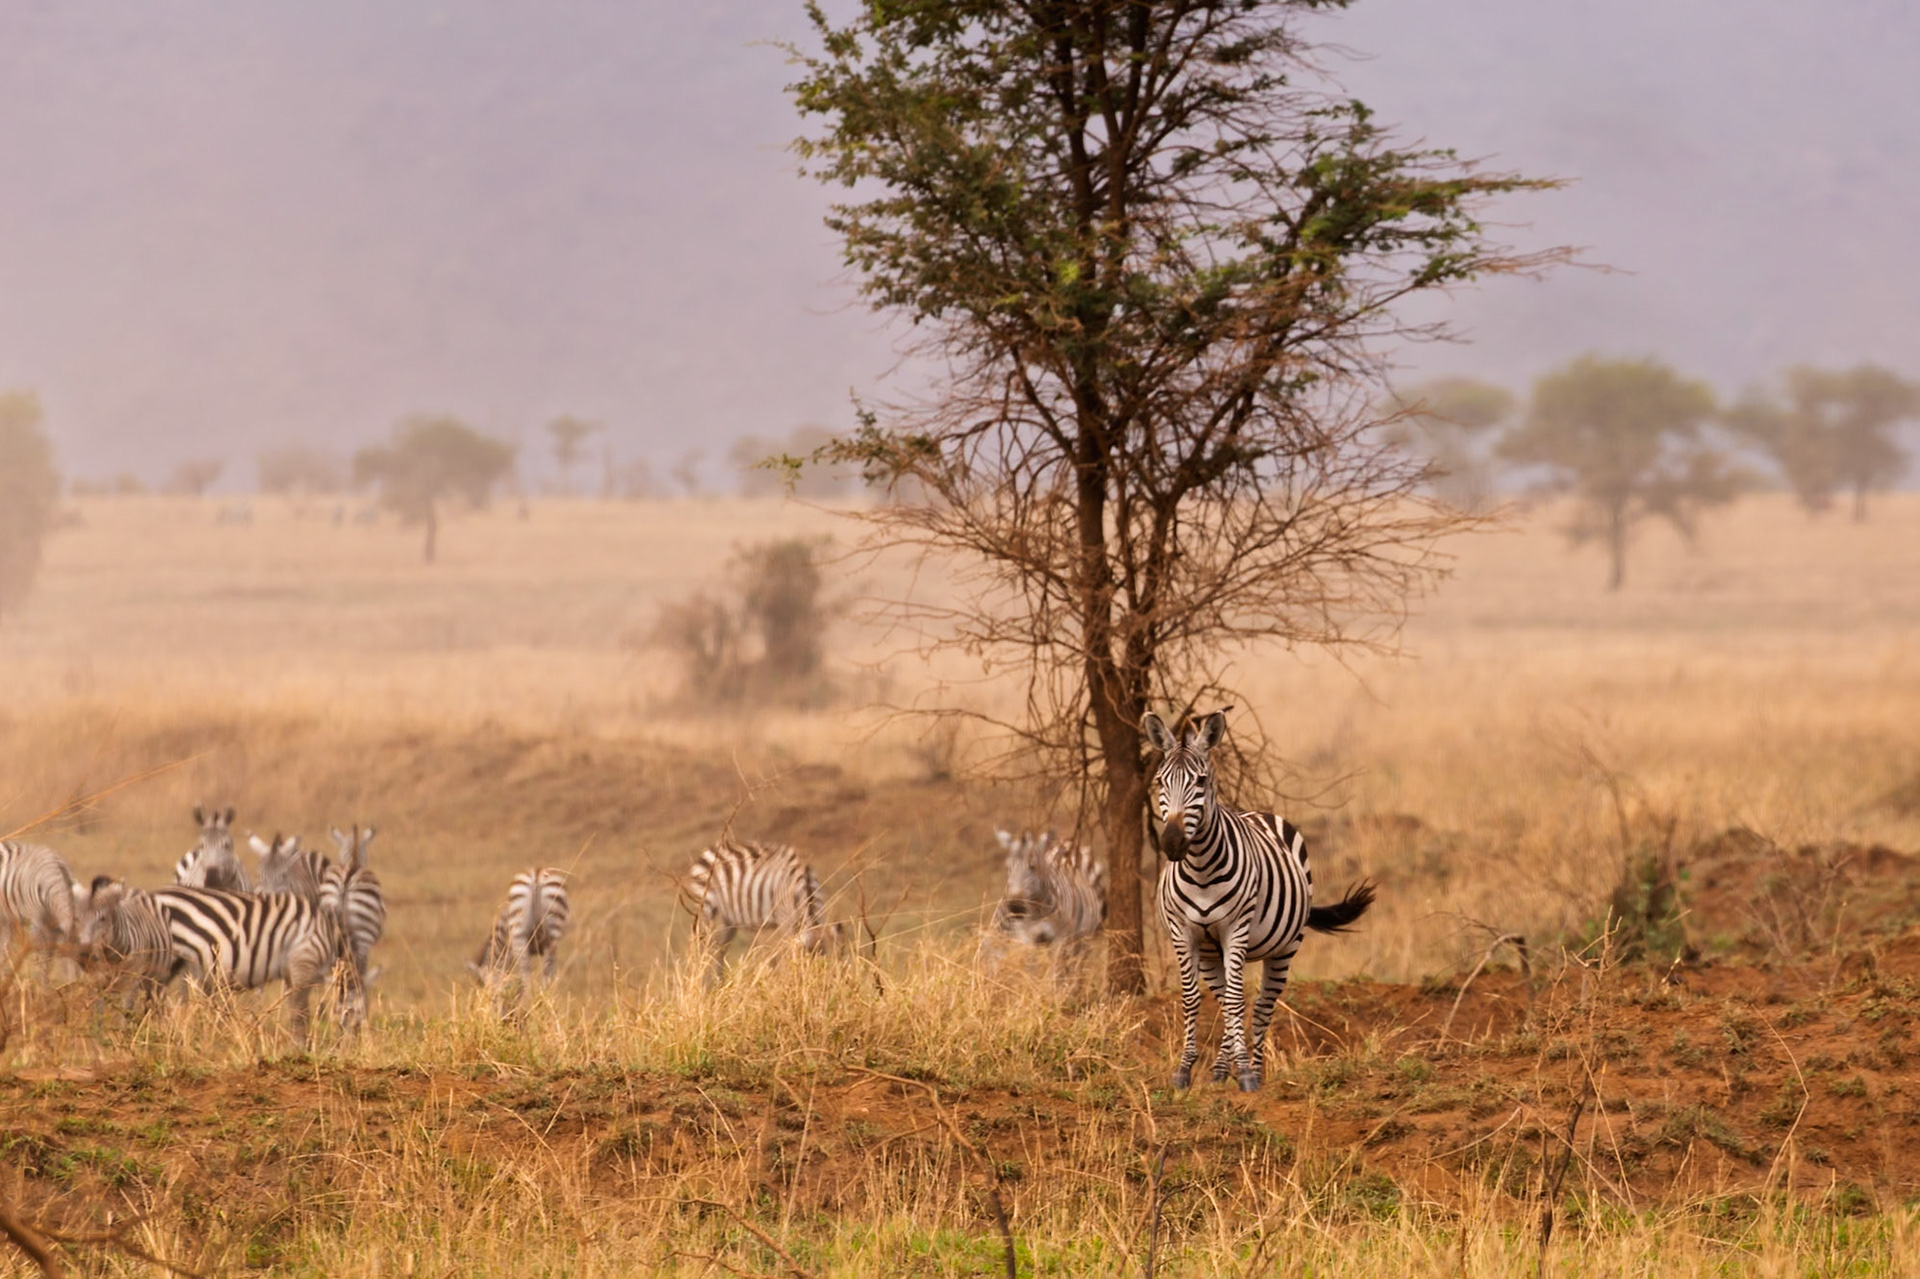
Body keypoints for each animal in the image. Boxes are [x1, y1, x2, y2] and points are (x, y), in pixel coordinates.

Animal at [468, 867, 571, 1004]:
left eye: (482, 985)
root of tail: (536, 875)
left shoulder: (509, 952)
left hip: (519, 935)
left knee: (526, 975)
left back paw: (527, 1006)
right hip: (552, 934)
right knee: (545, 973)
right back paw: (542, 1002)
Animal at [682, 837, 843, 985]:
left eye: (828, 961)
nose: (823, 985)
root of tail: (711, 848)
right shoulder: (785, 918)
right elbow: (789, 952)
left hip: (729, 918)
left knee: (721, 948)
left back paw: (719, 983)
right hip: (705, 905)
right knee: (700, 945)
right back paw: (702, 982)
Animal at [986, 828, 1107, 971]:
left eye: (1033, 866)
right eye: (1007, 867)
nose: (1016, 906)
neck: (1039, 909)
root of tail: (1064, 842)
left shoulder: (1060, 939)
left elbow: (1054, 971)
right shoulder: (1028, 937)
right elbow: (1031, 967)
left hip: (1083, 937)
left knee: (1076, 965)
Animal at [1144, 710, 1375, 1092]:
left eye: (1201, 781)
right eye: (1161, 781)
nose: (1173, 843)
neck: (1201, 868)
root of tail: (1259, 812)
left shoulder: (1235, 929)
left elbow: (1240, 1001)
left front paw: (1247, 1074)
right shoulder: (1183, 933)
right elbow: (1194, 999)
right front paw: (1184, 1070)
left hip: (1284, 948)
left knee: (1262, 1006)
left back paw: (1253, 1070)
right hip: (1212, 954)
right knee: (1226, 1001)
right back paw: (1220, 1071)